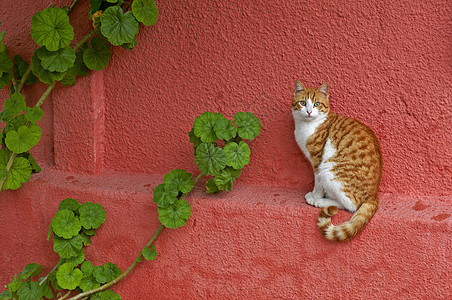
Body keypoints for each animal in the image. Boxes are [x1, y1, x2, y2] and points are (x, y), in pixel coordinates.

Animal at [292, 81, 384, 241]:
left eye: (316, 104)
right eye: (303, 103)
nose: (309, 111)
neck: (306, 126)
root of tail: (374, 195)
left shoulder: (317, 161)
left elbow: (317, 183)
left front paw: (315, 196)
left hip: (328, 170)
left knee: (350, 206)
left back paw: (321, 202)